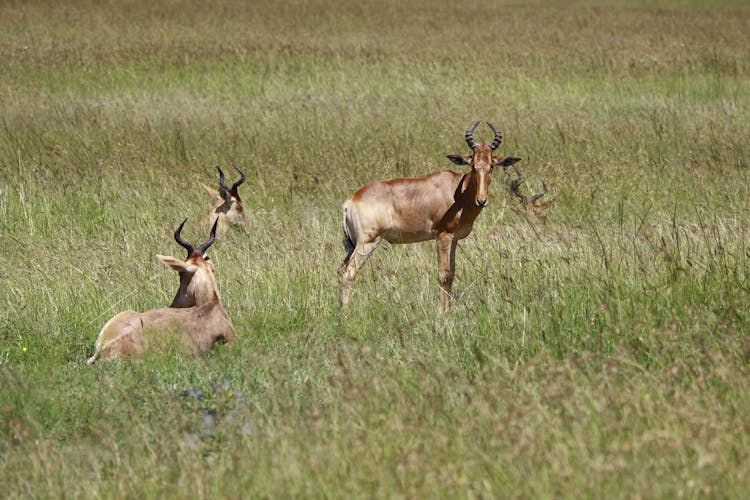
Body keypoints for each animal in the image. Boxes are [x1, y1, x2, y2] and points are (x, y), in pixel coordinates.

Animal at [340, 121, 524, 314]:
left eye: (492, 165)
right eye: (473, 165)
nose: (481, 200)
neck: (457, 192)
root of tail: (350, 201)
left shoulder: (454, 238)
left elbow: (452, 273)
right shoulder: (442, 236)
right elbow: (443, 275)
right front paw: (443, 313)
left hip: (351, 244)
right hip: (367, 242)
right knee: (349, 273)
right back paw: (345, 315)